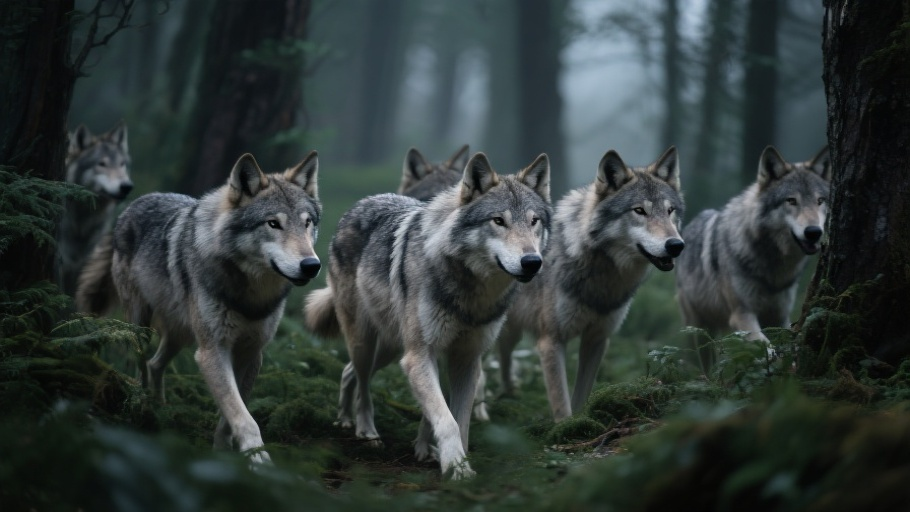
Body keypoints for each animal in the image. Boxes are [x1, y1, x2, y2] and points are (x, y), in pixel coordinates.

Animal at [76, 152, 322, 462]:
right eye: (273, 224)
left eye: (307, 223)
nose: (311, 265)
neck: (249, 293)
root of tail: (132, 205)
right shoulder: (212, 351)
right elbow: (243, 416)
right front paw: (258, 459)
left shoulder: (251, 352)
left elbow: (231, 413)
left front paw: (223, 453)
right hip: (141, 327)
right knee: (141, 368)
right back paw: (143, 410)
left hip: (181, 334)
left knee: (156, 364)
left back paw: (161, 407)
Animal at [304, 152, 551, 478]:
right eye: (498, 221)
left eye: (534, 221)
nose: (532, 261)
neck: (471, 291)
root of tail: (362, 202)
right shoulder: (420, 355)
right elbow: (446, 420)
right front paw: (456, 468)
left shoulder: (465, 359)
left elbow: (458, 419)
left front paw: (439, 455)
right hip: (366, 343)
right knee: (363, 383)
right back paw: (365, 430)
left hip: (392, 348)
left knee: (348, 372)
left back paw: (348, 420)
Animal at [497, 147, 685, 421]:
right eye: (639, 210)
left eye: (670, 211)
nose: (676, 245)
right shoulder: (551, 341)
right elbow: (561, 404)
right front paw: (565, 428)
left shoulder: (597, 339)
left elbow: (581, 396)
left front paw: (580, 422)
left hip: (511, 330)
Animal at [675, 145, 830, 371]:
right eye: (791, 200)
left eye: (820, 201)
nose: (814, 232)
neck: (772, 264)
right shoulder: (742, 314)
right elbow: (766, 346)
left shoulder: (780, 317)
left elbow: (787, 345)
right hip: (698, 328)